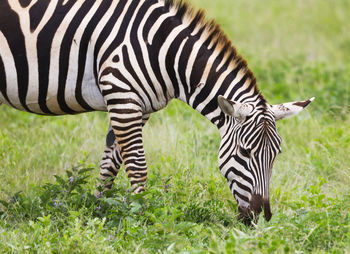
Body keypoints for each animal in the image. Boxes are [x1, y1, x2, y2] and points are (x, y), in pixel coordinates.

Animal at [0, 0, 312, 222]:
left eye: (276, 154)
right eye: (245, 153)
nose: (261, 217)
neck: (162, 52)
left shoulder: (137, 106)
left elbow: (111, 164)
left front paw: (99, 211)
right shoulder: (122, 95)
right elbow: (137, 167)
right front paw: (141, 217)